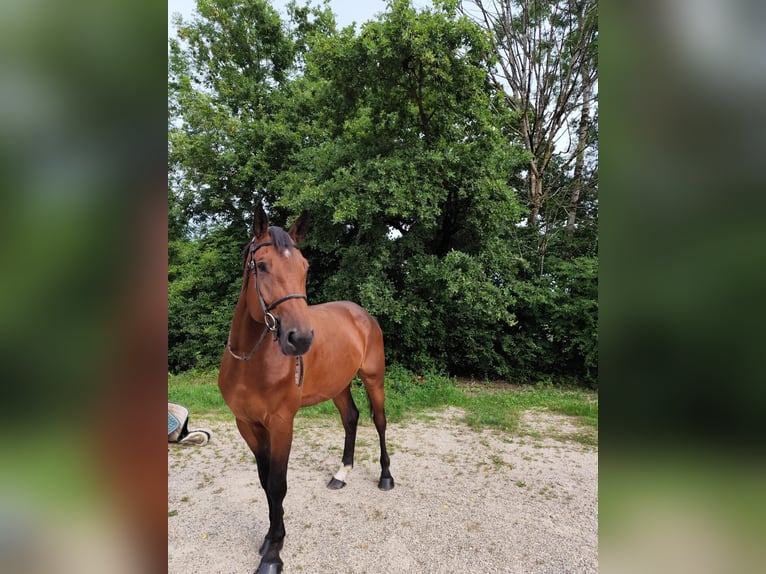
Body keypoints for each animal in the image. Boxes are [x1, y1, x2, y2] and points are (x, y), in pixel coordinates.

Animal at [217, 204, 394, 574]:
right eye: (262, 266)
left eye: (304, 267)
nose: (299, 338)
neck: (250, 361)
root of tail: (362, 313)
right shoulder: (247, 425)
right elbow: (265, 483)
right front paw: (271, 537)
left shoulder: (282, 423)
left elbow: (278, 485)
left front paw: (273, 553)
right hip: (338, 386)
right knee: (351, 418)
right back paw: (341, 473)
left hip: (374, 379)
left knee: (380, 422)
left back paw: (386, 477)